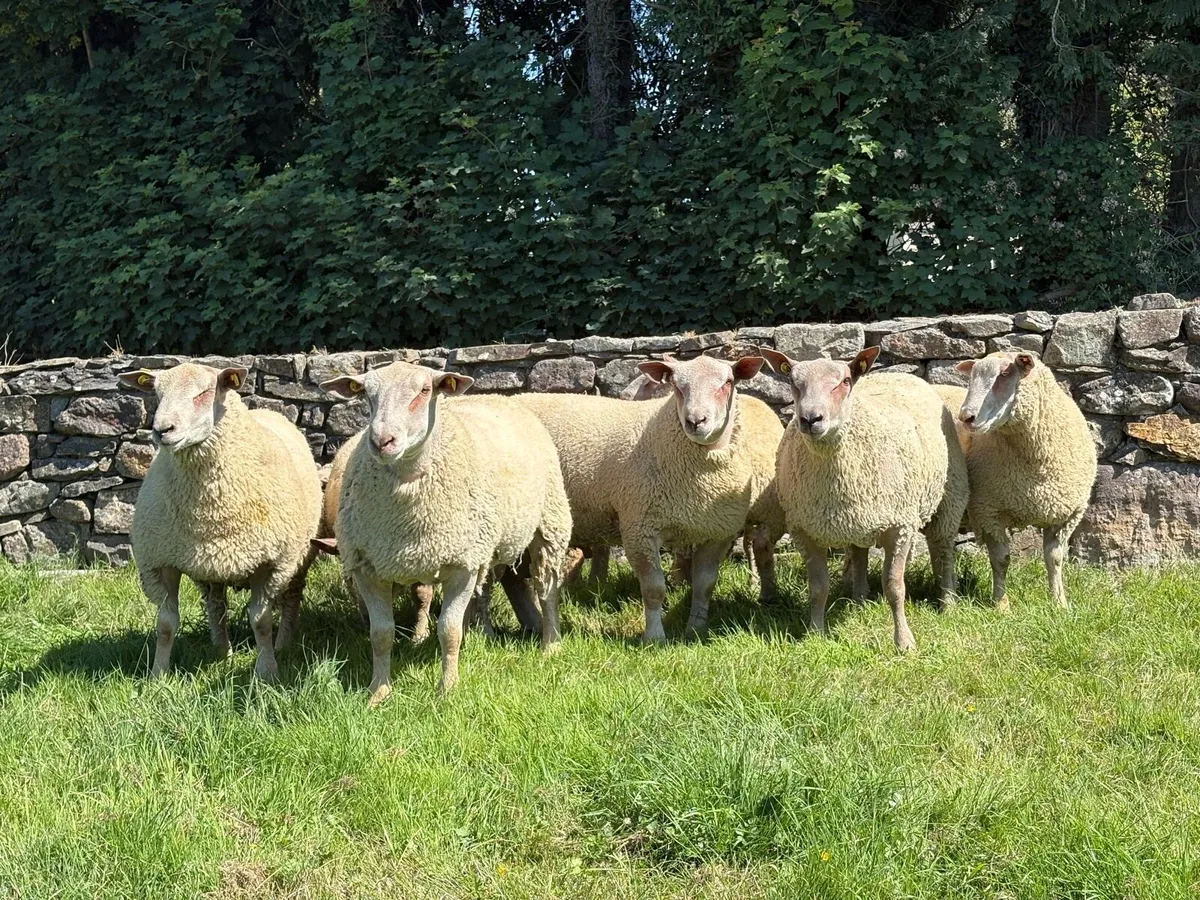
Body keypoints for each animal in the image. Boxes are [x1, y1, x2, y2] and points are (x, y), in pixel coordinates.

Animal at [119, 363, 322, 680]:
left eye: (204, 392)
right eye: (157, 394)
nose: (162, 430)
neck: (208, 508)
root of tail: (268, 411)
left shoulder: (267, 562)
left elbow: (261, 621)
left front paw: (267, 672)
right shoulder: (162, 560)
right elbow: (165, 625)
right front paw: (158, 676)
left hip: (297, 557)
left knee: (291, 597)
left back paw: (283, 644)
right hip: (209, 564)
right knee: (216, 606)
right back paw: (221, 651)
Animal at [320, 361, 572, 703]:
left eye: (425, 390)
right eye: (366, 394)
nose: (382, 441)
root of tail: (498, 396)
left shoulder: (462, 567)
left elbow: (449, 632)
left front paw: (447, 689)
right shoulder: (368, 567)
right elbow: (381, 635)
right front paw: (378, 693)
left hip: (549, 523)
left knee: (547, 590)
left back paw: (550, 645)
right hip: (483, 545)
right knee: (480, 594)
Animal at [515, 352, 767, 641]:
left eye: (727, 382)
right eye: (677, 386)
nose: (695, 421)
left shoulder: (716, 533)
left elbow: (705, 585)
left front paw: (695, 629)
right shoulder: (640, 527)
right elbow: (654, 588)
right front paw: (654, 637)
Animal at [760, 346, 969, 651]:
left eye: (845, 381)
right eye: (792, 382)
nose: (810, 419)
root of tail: (896, 374)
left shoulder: (900, 527)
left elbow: (895, 587)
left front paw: (904, 642)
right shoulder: (805, 531)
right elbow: (817, 589)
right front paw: (815, 633)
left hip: (949, 494)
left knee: (942, 547)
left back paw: (948, 601)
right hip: (857, 517)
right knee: (859, 554)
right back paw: (859, 602)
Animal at [953, 351, 1096, 609]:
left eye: (1004, 374)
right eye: (972, 376)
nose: (966, 417)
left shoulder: (1066, 515)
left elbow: (1055, 558)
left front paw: (1059, 602)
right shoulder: (988, 511)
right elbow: (1001, 559)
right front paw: (1001, 604)